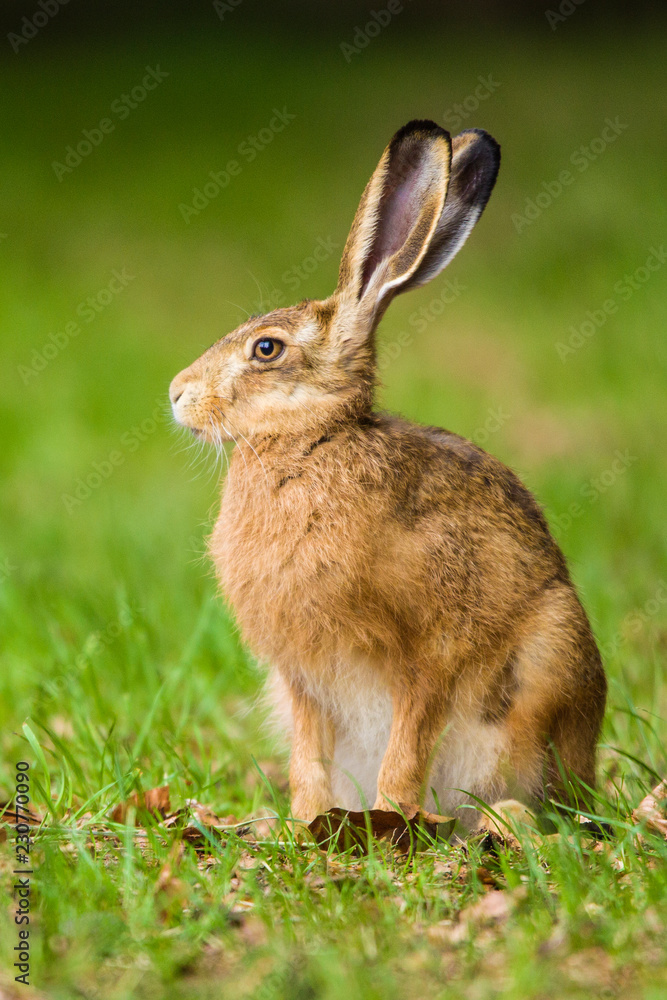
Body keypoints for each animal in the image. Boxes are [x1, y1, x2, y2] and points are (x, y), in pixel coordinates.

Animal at [169, 120, 607, 828]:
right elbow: (308, 755)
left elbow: (410, 739)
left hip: (548, 661)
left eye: (266, 349)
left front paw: (391, 814)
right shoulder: (301, 676)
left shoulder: (431, 652)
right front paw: (305, 822)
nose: (177, 394)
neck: (314, 441)